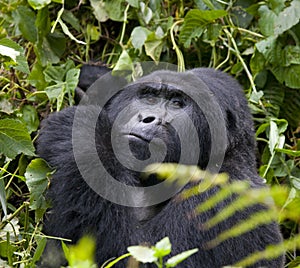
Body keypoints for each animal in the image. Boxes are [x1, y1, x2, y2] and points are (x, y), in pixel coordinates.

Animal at [37, 66, 284, 266]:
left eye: (177, 103)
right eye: (149, 98)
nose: (147, 118)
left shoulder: (221, 197)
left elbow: (132, 256)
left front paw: (81, 131)